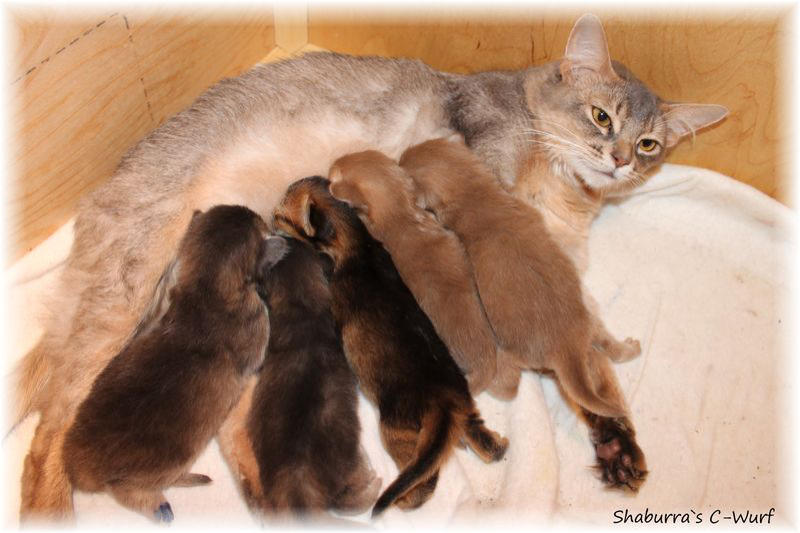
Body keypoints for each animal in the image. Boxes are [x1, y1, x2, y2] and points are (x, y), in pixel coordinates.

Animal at [61, 205, 270, 522]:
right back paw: (164, 503)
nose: (252, 211)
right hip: (164, 465)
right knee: (128, 491)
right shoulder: (257, 325)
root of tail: (80, 469)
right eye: (251, 220)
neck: (204, 294)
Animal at [272, 177, 508, 516]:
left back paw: (403, 500)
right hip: (467, 411)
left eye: (283, 214)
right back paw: (498, 446)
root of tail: (446, 402)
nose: (269, 216)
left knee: (423, 479)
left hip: (398, 432)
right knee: (481, 440)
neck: (359, 244)